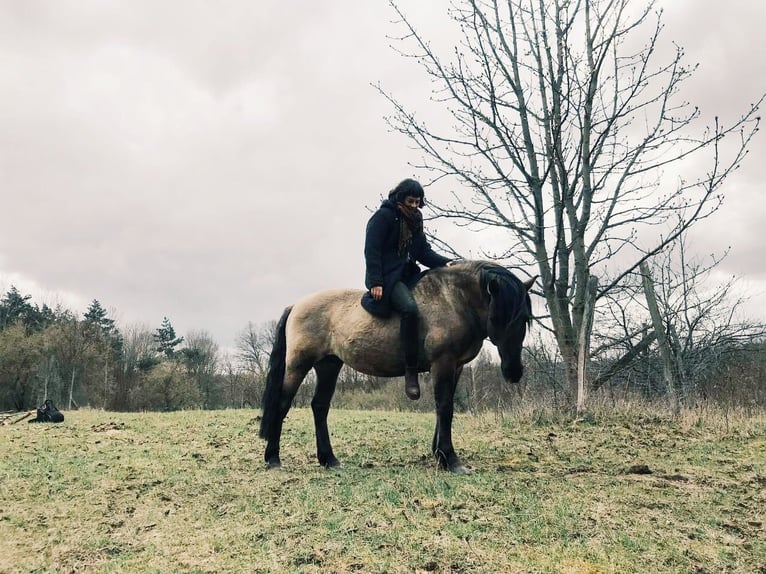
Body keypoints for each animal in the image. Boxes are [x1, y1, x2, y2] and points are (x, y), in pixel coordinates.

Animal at [258, 261, 534, 474]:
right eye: (499, 316)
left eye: (524, 318)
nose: (514, 372)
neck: (453, 300)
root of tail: (296, 305)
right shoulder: (443, 362)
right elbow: (445, 407)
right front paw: (450, 459)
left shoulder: (455, 367)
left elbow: (443, 408)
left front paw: (439, 454)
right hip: (299, 364)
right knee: (282, 404)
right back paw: (273, 459)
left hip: (329, 365)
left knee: (320, 407)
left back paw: (329, 460)